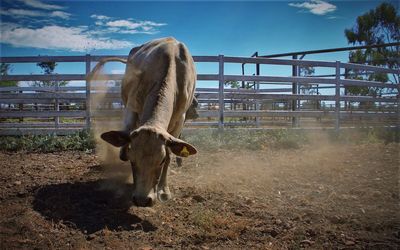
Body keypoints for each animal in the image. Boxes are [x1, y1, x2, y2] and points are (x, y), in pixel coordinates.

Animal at [89, 37, 198, 207]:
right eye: (133, 160)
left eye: (161, 161)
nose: (142, 200)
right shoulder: (132, 104)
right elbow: (127, 130)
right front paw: (124, 151)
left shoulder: (180, 119)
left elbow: (170, 153)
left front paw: (164, 190)